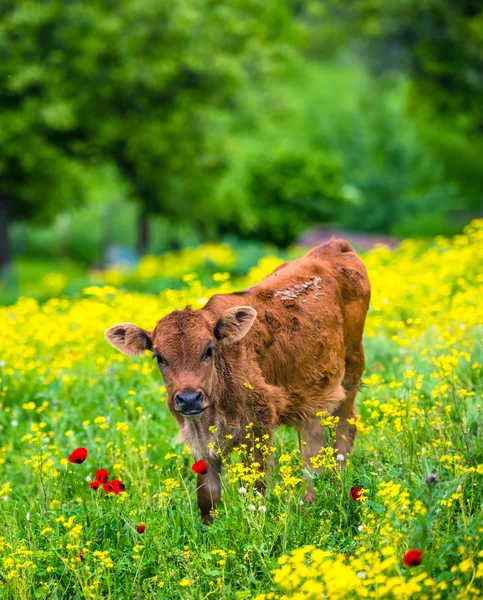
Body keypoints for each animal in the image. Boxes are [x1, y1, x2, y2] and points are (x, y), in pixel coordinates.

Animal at [105, 238, 370, 520]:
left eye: (208, 350)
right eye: (159, 357)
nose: (189, 399)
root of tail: (334, 245)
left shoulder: (258, 426)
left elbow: (255, 488)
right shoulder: (199, 439)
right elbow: (207, 495)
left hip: (349, 378)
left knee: (343, 431)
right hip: (313, 399)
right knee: (314, 445)